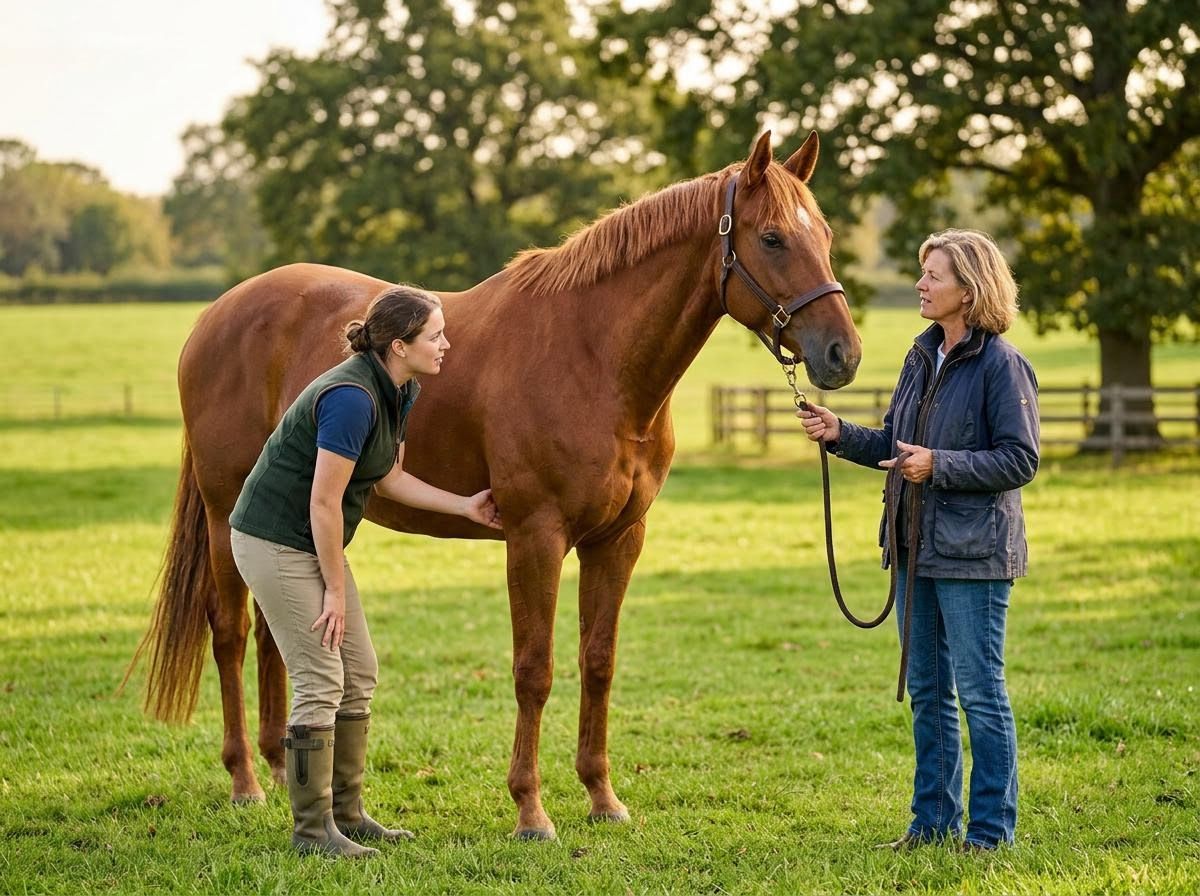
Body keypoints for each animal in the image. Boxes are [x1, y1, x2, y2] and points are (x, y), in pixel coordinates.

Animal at [130, 131, 862, 840]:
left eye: (824, 235)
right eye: (773, 238)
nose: (842, 354)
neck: (594, 357)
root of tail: (215, 315)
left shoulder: (618, 539)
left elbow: (598, 663)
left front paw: (602, 797)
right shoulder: (535, 537)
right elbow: (533, 671)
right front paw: (531, 811)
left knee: (273, 637)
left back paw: (282, 770)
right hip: (226, 513)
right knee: (229, 633)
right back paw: (246, 780)